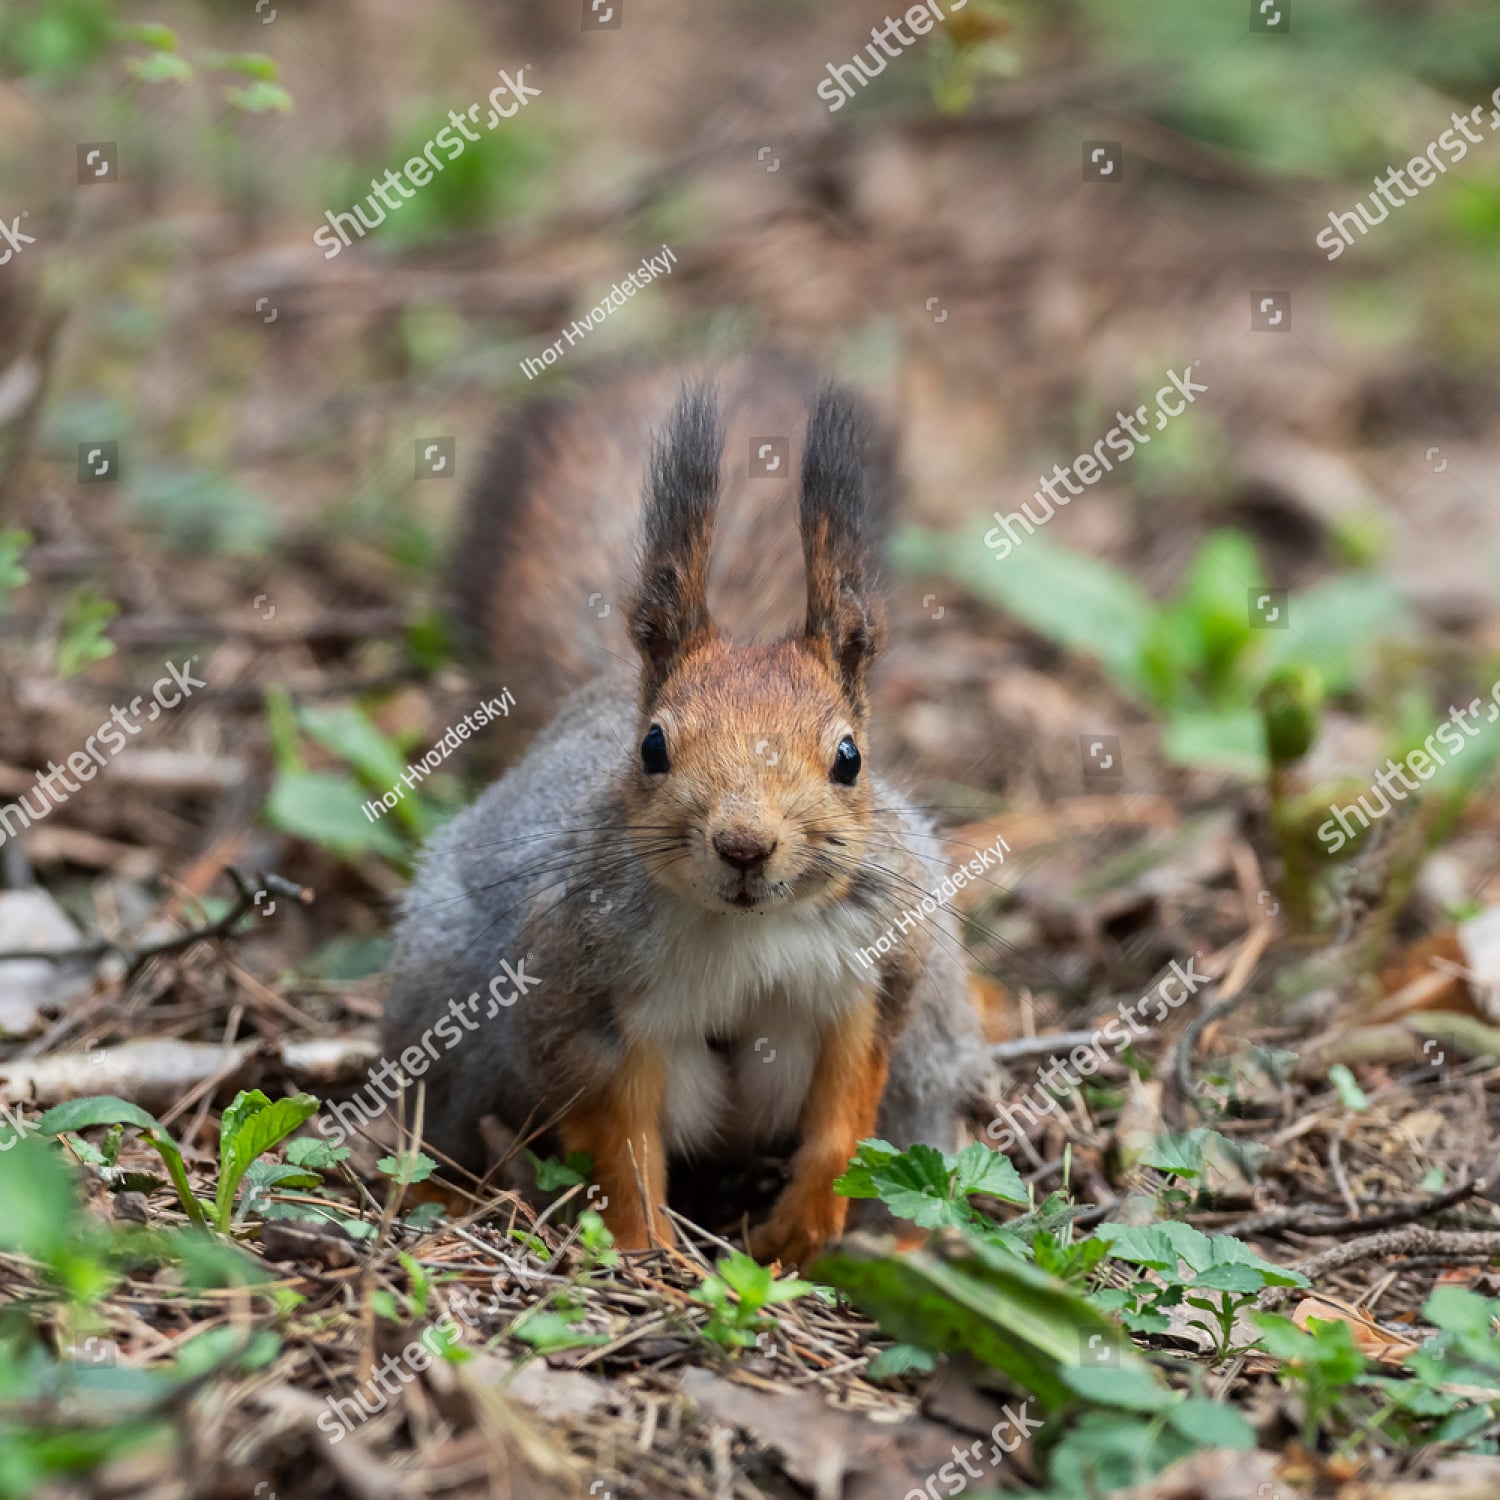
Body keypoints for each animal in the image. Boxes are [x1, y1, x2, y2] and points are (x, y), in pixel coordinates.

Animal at [385, 352, 991, 1263]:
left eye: (850, 758)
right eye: (652, 748)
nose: (743, 845)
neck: (747, 928)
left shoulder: (876, 976)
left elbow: (845, 1115)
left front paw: (802, 1231)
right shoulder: (579, 995)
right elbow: (620, 1140)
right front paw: (646, 1251)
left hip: (937, 1027)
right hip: (442, 999)